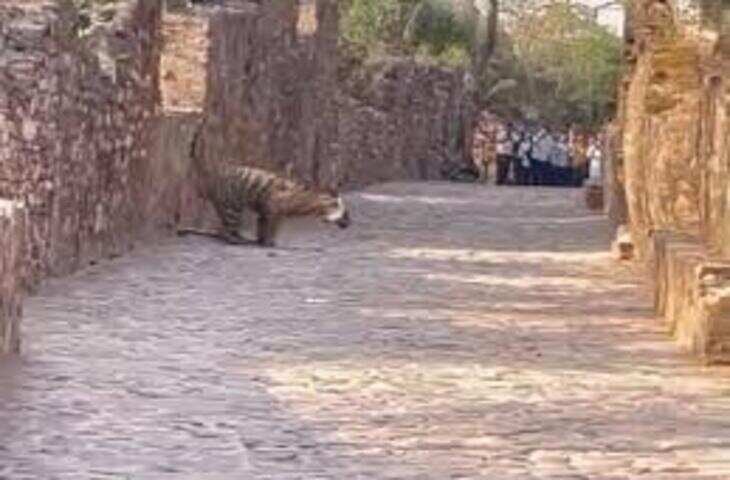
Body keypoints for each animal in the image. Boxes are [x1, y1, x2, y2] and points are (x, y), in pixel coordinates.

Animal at [179, 127, 350, 247]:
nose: (350, 224)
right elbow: (272, 225)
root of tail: (211, 177)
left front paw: (261, 240)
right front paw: (269, 241)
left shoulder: (265, 209)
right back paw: (234, 238)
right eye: (346, 216)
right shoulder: (276, 209)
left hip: (225, 202)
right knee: (230, 222)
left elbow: (261, 223)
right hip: (231, 201)